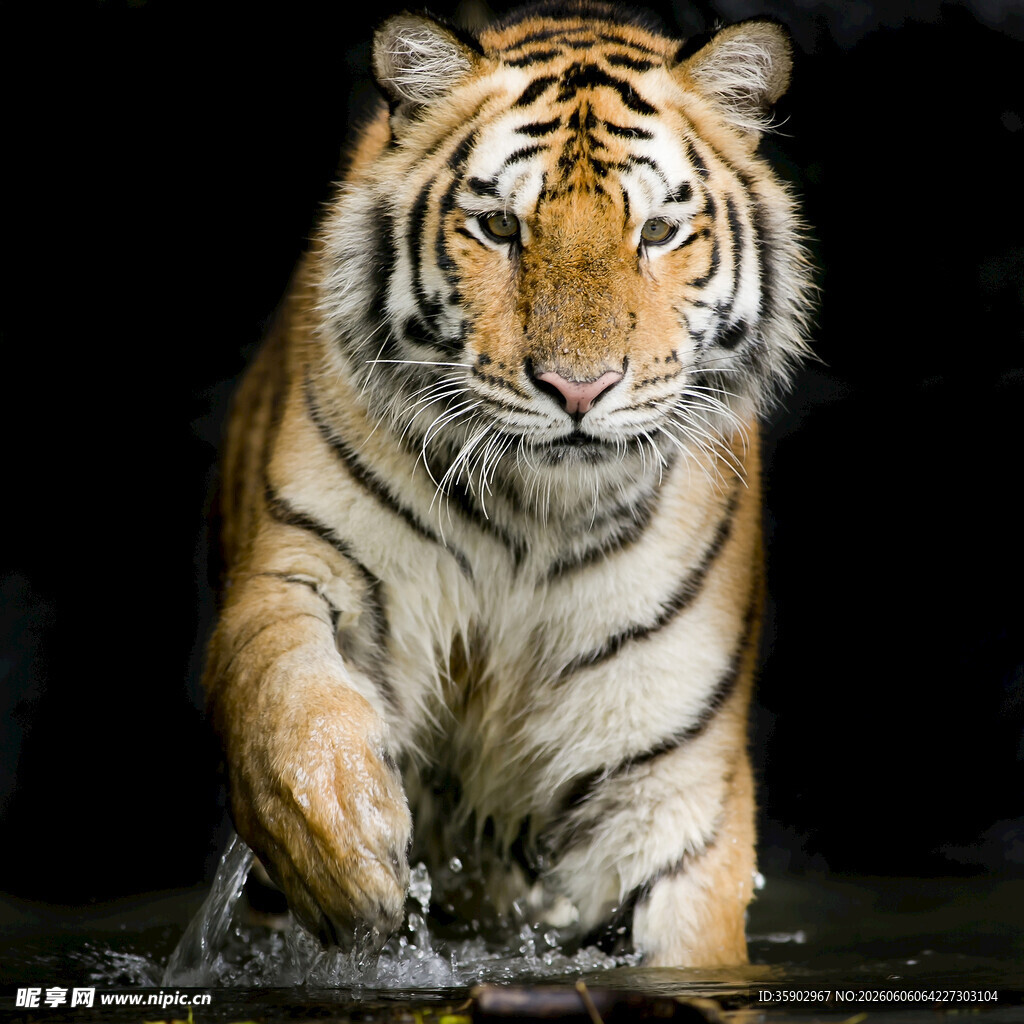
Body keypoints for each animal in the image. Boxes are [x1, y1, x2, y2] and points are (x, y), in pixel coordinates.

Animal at [204, 0, 814, 968]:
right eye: (499, 227)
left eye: (657, 233)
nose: (579, 389)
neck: (537, 517)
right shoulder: (308, 559)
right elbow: (279, 687)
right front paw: (344, 846)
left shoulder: (665, 778)